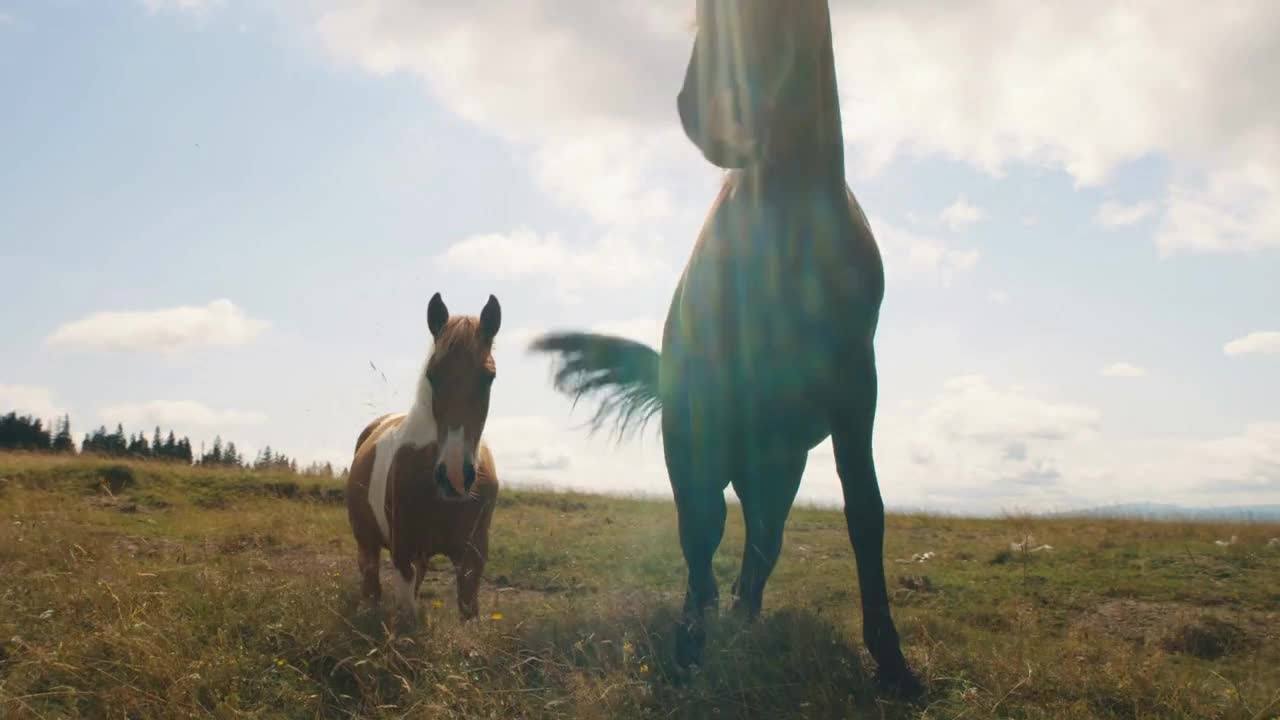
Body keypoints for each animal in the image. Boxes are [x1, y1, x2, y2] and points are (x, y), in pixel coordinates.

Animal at [348, 292, 501, 617]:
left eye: (488, 377)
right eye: (432, 375)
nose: (454, 476)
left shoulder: (472, 561)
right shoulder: (403, 553)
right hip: (367, 541)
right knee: (370, 580)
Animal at [527, 0, 921, 696]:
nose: (711, 115)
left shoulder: (857, 391)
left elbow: (864, 513)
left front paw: (892, 661)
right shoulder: (711, 400)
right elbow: (703, 523)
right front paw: (688, 646)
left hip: (781, 465)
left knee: (764, 538)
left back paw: (742, 615)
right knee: (707, 524)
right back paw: (707, 616)